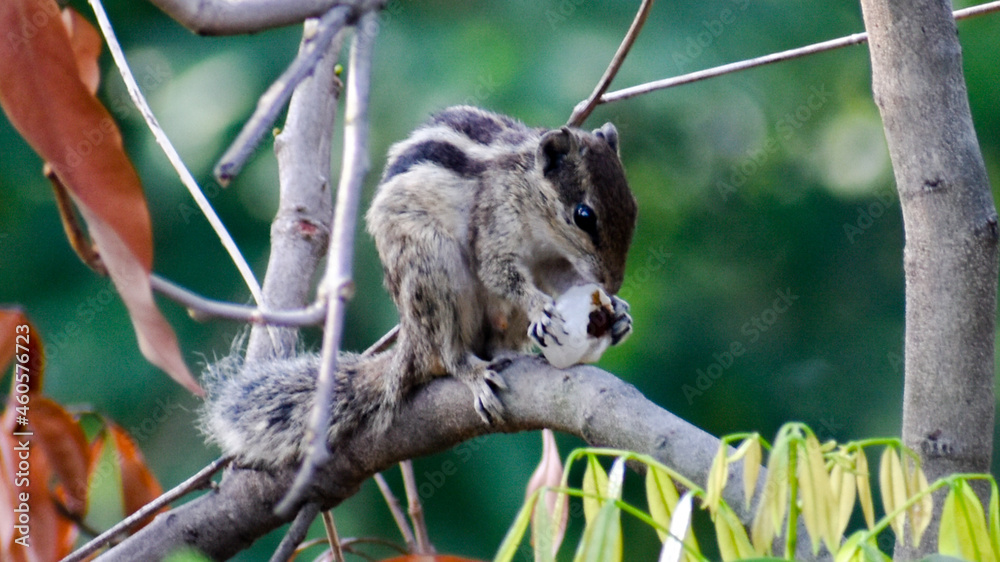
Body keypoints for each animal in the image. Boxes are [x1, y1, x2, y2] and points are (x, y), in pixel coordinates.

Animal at [201, 106, 638, 468]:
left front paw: (617, 312)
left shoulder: (554, 262)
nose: (613, 281)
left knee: (494, 344)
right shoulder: (494, 225)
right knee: (448, 353)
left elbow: (562, 281)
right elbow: (499, 272)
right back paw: (472, 372)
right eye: (583, 215)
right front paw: (541, 307)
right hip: (433, 264)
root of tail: (411, 340)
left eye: (633, 207)